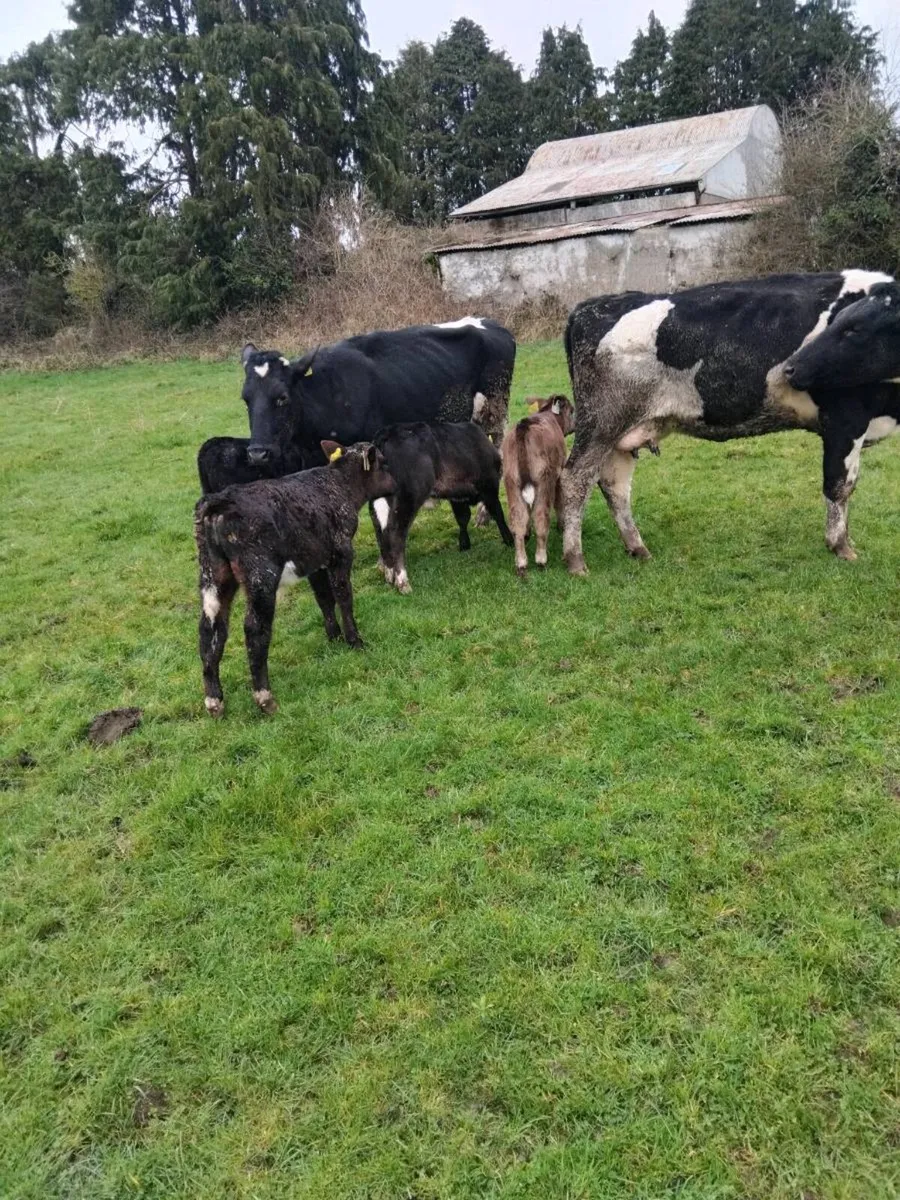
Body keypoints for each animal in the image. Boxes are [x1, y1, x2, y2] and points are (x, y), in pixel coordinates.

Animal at [195, 441, 395, 717]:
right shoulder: (341, 552)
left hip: (214, 575)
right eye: (384, 463)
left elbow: (324, 599)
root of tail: (219, 501)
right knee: (254, 629)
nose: (396, 485)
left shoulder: (315, 560)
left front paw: (334, 638)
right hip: (260, 576)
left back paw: (214, 701)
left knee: (210, 628)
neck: (338, 485)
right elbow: (343, 596)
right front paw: (354, 641)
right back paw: (265, 698)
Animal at [368, 422, 514, 595]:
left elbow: (463, 518)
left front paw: (464, 545)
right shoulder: (489, 486)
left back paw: (389, 576)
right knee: (396, 535)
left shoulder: (457, 496)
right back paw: (403, 582)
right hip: (407, 499)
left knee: (381, 535)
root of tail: (386, 434)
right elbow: (498, 513)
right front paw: (509, 540)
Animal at [501, 395, 575, 577]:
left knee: (518, 519)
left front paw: (528, 533)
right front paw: (562, 526)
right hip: (544, 482)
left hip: (511, 482)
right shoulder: (559, 475)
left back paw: (521, 563)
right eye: (572, 410)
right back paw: (541, 560)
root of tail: (523, 427)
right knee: (541, 517)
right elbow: (559, 502)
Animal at [559, 270, 900, 574]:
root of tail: (595, 305)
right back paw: (575, 561)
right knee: (576, 479)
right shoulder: (845, 419)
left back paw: (637, 548)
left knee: (615, 484)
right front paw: (841, 546)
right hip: (602, 421)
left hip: (626, 432)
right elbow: (840, 485)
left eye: (854, 329)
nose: (792, 369)